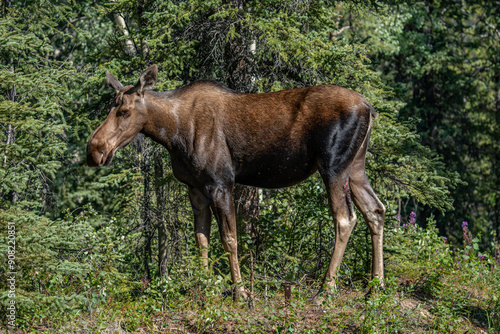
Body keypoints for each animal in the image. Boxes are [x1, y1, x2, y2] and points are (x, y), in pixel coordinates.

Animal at [87, 65, 386, 302]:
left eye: (125, 111)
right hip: (355, 167)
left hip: (334, 166)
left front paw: (241, 292)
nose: (94, 150)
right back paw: (376, 286)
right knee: (375, 210)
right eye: (111, 107)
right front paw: (203, 287)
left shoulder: (221, 182)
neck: (171, 133)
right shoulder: (195, 187)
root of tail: (369, 108)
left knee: (345, 218)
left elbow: (230, 239)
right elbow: (201, 238)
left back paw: (327, 289)